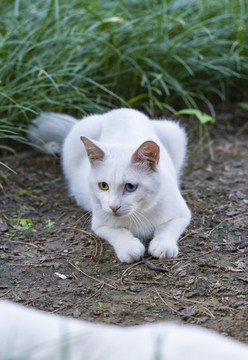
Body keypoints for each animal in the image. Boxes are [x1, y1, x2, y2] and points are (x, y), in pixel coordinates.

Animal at [29, 108, 192, 262]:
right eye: (103, 185)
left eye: (130, 187)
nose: (114, 207)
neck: (138, 213)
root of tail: (121, 110)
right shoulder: (100, 224)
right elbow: (119, 232)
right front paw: (130, 248)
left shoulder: (182, 214)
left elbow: (167, 228)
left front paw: (163, 245)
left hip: (173, 132)